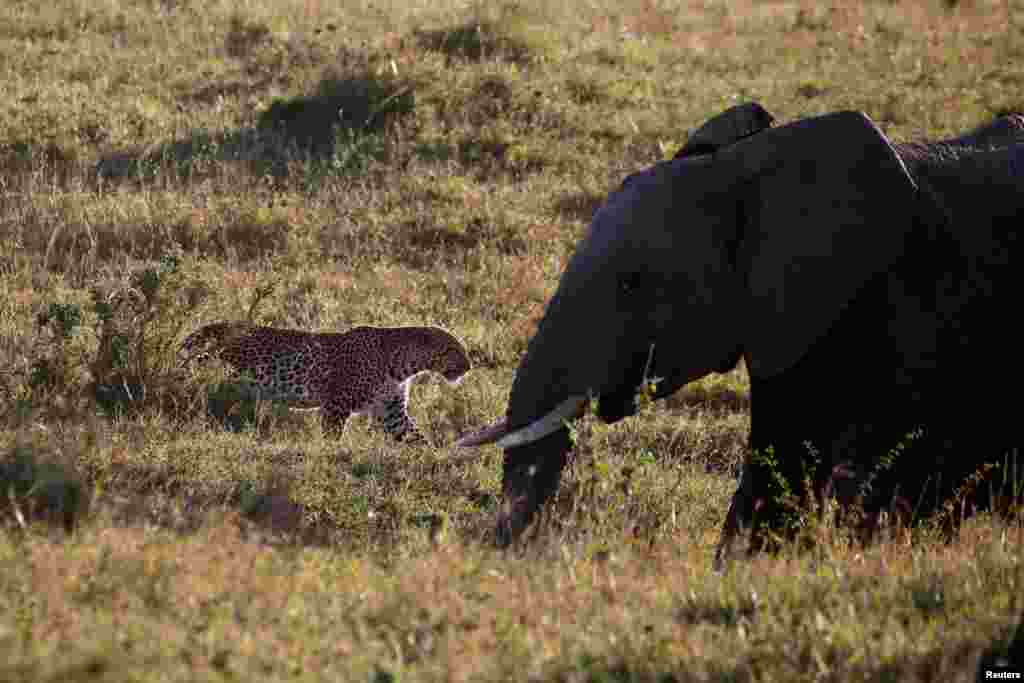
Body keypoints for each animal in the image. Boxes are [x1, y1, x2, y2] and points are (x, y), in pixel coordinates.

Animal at [179, 322, 471, 443]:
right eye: (453, 350)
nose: (469, 367)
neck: (402, 367)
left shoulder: (392, 411)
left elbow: (414, 435)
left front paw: (434, 457)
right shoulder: (336, 406)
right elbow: (332, 436)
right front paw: (330, 453)